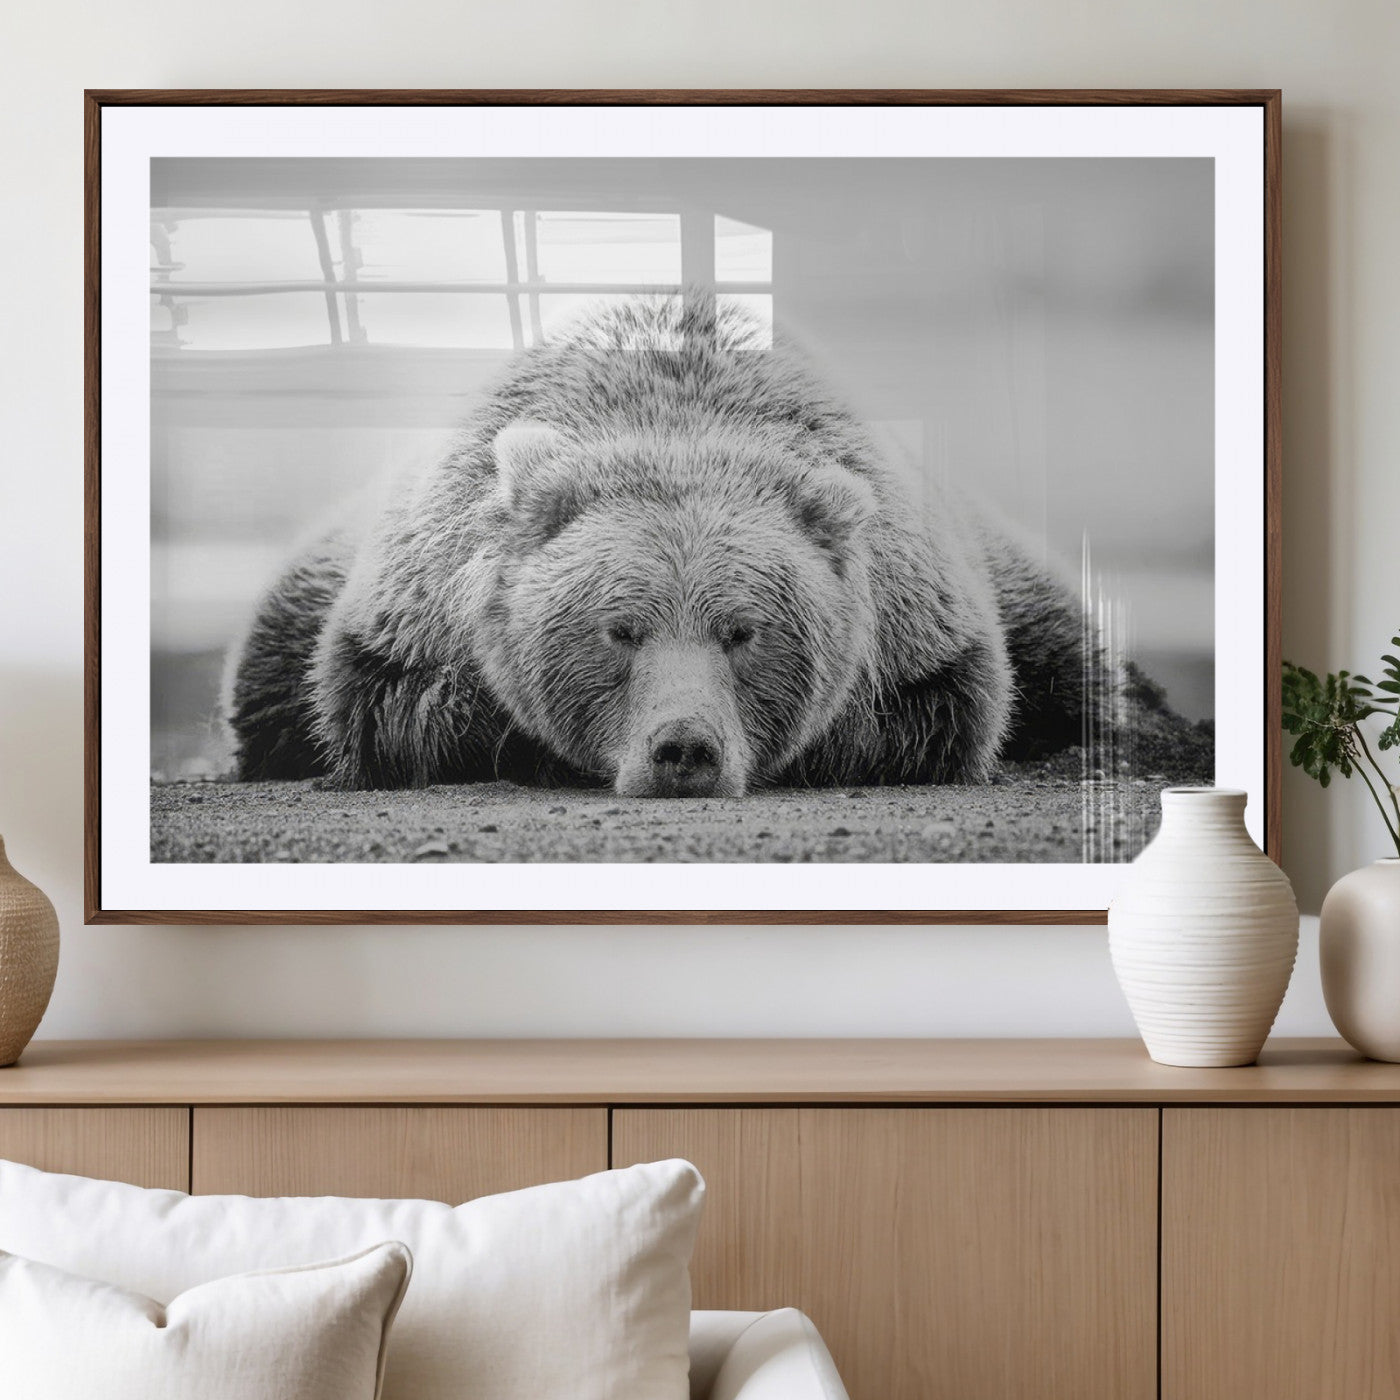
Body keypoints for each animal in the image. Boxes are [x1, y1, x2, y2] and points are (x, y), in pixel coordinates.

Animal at [223, 295, 1089, 798]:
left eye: (743, 631)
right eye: (619, 629)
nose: (684, 748)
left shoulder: (921, 624)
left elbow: (941, 709)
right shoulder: (416, 607)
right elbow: (395, 705)